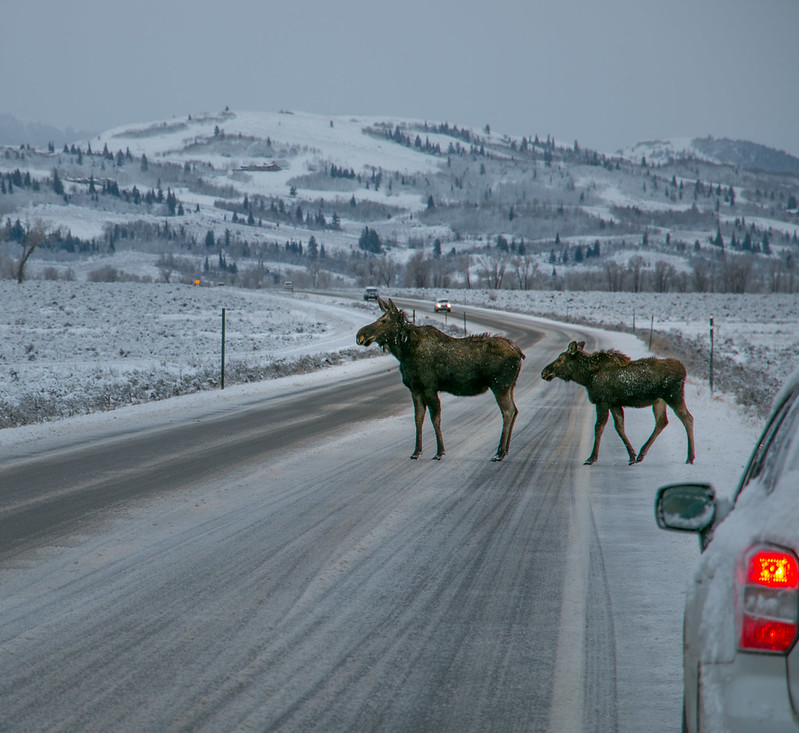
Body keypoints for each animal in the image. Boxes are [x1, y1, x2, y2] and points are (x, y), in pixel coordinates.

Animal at [356, 296, 524, 458]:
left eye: (384, 321)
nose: (360, 335)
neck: (404, 352)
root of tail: (519, 353)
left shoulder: (429, 387)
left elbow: (435, 419)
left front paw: (439, 452)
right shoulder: (415, 389)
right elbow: (418, 419)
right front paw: (416, 451)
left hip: (500, 385)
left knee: (508, 412)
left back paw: (499, 452)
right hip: (510, 386)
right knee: (515, 410)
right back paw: (505, 449)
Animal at [540, 342, 696, 466]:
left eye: (561, 359)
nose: (544, 372)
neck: (586, 377)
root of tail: (684, 370)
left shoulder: (602, 401)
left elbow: (599, 427)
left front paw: (591, 458)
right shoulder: (614, 403)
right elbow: (619, 427)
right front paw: (631, 456)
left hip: (674, 396)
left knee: (687, 418)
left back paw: (690, 457)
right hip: (659, 401)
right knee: (662, 421)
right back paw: (641, 454)